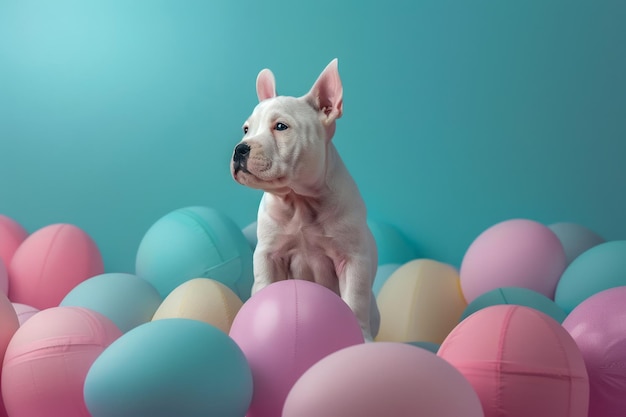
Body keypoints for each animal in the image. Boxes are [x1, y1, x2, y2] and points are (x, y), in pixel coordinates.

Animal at [228, 58, 376, 340]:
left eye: (281, 127)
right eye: (245, 130)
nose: (240, 148)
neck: (299, 200)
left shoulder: (354, 259)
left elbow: (354, 300)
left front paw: (360, 336)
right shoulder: (268, 255)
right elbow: (266, 285)